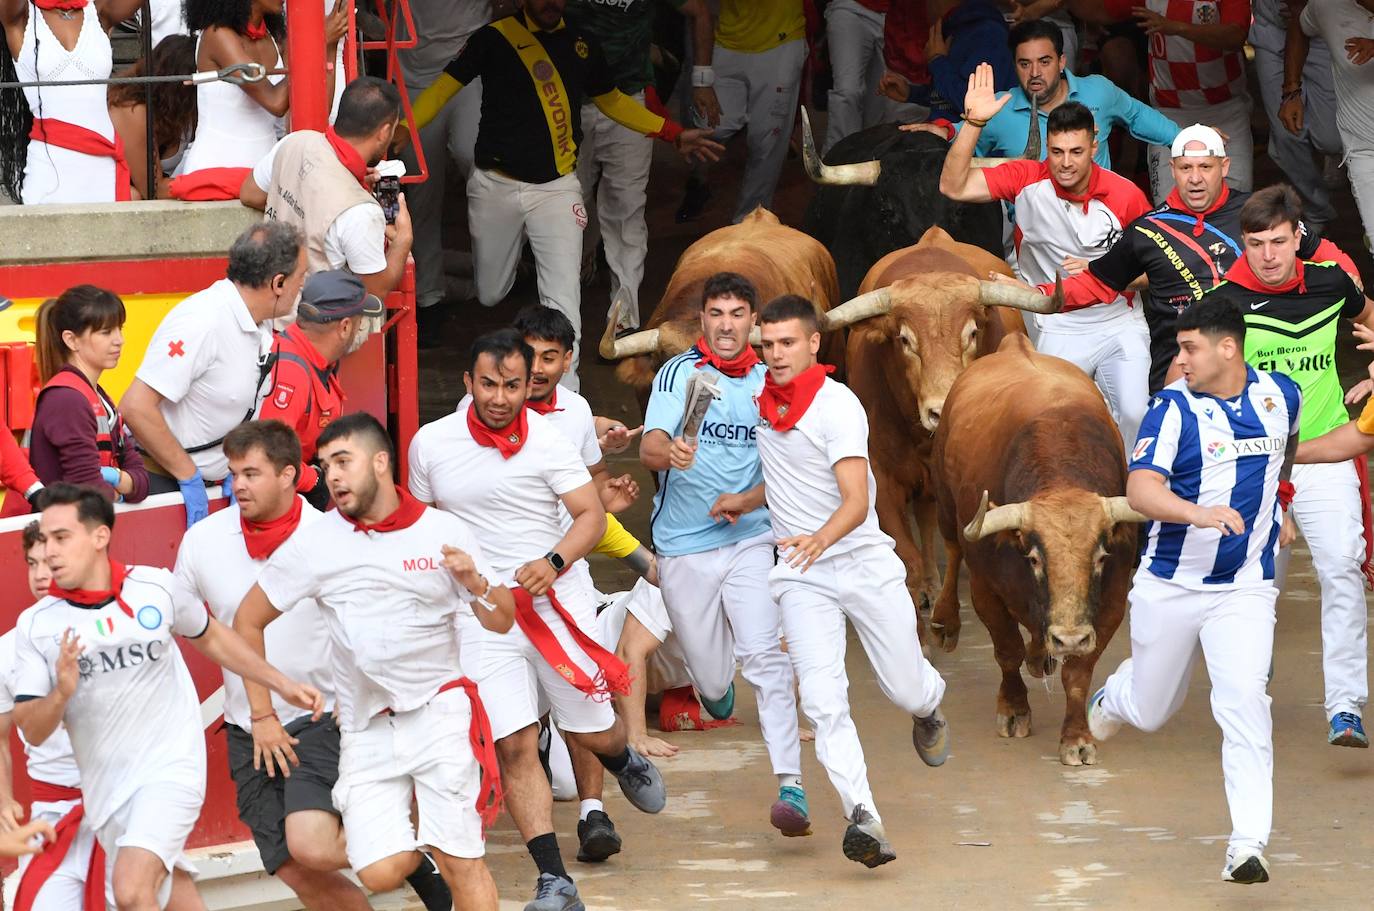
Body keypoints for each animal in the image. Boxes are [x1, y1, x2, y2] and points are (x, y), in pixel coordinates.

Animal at [928, 336, 1143, 769]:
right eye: (1034, 559)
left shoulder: (1111, 603)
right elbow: (1006, 650)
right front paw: (1013, 711)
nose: (1068, 637)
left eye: (1100, 556)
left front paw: (1076, 738)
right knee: (953, 549)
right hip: (944, 506)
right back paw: (947, 620)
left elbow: (1077, 674)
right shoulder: (985, 589)